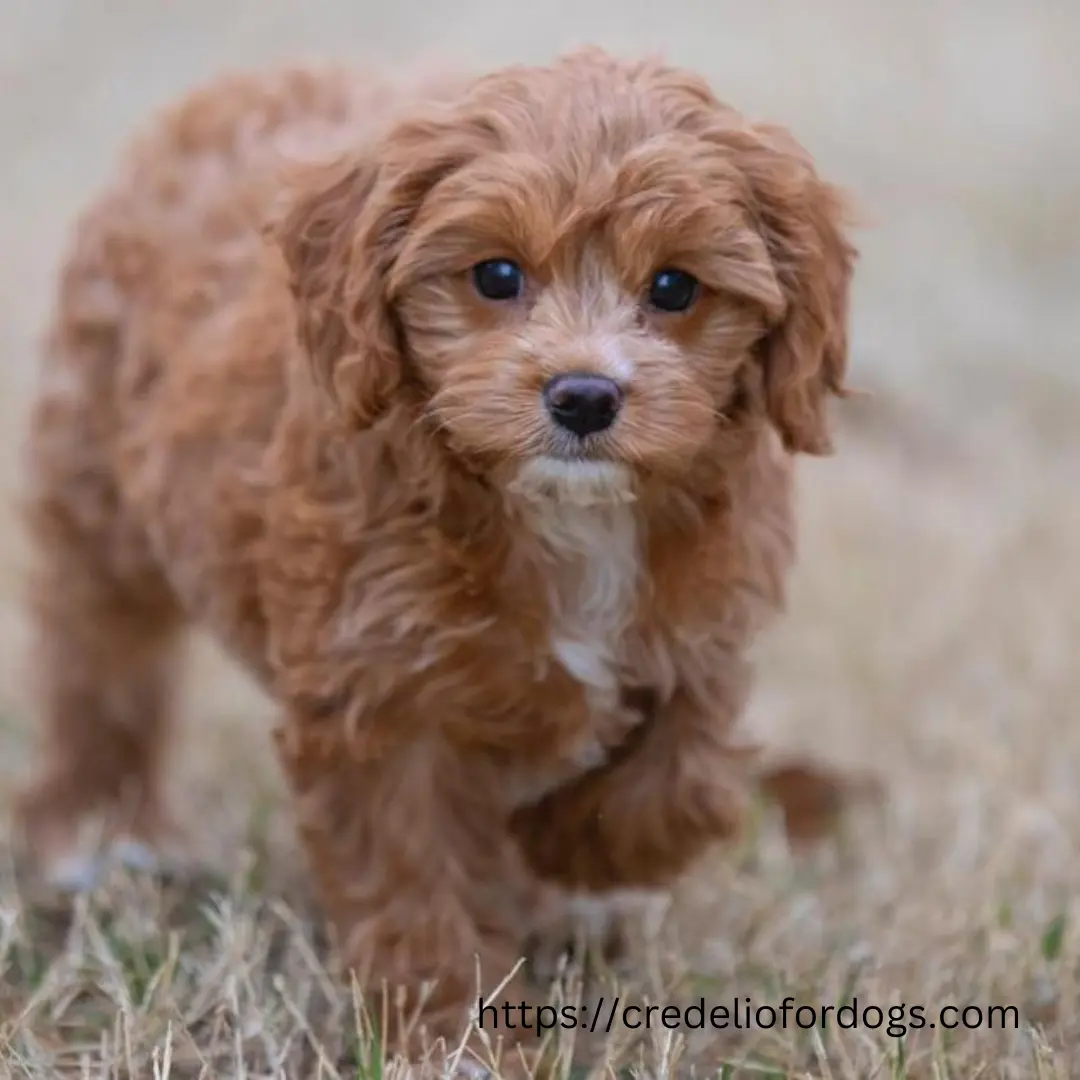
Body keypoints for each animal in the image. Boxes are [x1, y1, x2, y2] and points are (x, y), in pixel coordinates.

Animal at [14, 48, 859, 1062]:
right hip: (97, 487)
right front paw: (459, 1039)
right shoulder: (376, 694)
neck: (567, 516)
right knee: (99, 659)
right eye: (495, 274)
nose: (583, 395)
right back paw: (100, 831)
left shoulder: (707, 620)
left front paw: (571, 847)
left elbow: (684, 773)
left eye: (675, 288)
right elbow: (416, 880)